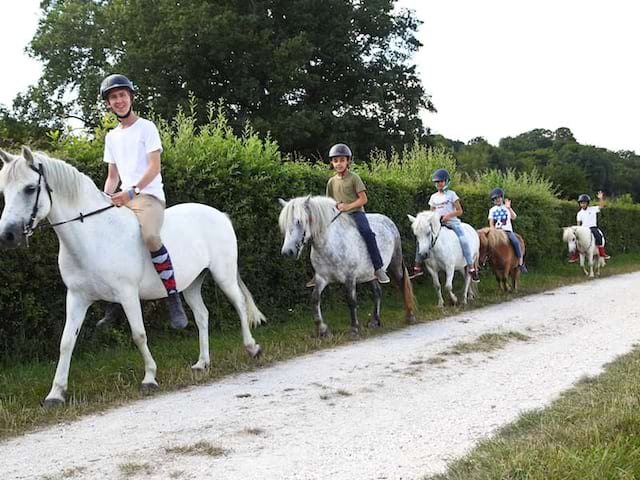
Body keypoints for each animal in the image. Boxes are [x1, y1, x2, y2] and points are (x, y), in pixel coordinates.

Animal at [0, 147, 264, 408]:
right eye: (4, 191)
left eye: (29, 188)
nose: (8, 235)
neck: (93, 235)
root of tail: (220, 215)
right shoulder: (76, 298)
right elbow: (66, 342)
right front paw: (55, 394)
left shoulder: (127, 294)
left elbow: (138, 334)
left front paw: (149, 378)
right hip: (191, 284)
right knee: (202, 316)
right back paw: (202, 363)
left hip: (223, 274)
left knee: (239, 304)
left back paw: (252, 348)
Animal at [278, 195, 418, 334]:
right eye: (284, 225)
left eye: (298, 221)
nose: (287, 252)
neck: (330, 244)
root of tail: (389, 221)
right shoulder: (321, 277)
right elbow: (315, 298)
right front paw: (322, 330)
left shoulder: (350, 277)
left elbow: (351, 300)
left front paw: (354, 328)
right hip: (369, 273)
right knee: (377, 292)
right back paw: (374, 321)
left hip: (395, 264)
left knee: (402, 284)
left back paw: (410, 316)